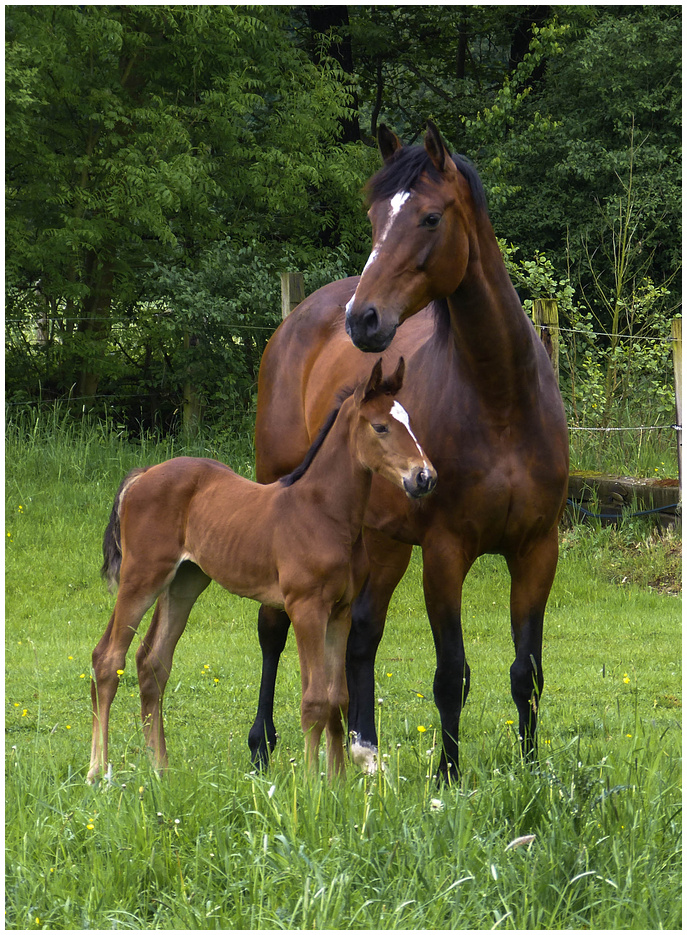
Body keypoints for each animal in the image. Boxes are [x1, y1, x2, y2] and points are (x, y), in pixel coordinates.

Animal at [88, 358, 436, 784]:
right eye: (381, 426)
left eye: (410, 422)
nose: (424, 477)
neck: (324, 513)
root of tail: (143, 474)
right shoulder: (305, 608)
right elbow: (314, 700)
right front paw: (312, 785)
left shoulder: (340, 611)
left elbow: (338, 698)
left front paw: (337, 783)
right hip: (142, 578)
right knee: (108, 659)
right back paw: (97, 773)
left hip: (184, 582)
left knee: (151, 664)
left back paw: (161, 771)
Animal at [250, 124, 568, 784]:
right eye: (374, 218)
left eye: (429, 217)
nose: (363, 320)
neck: (501, 401)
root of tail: (298, 319)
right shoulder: (445, 553)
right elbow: (451, 675)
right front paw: (447, 775)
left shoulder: (537, 549)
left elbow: (526, 672)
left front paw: (530, 773)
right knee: (274, 629)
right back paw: (262, 744)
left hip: (382, 540)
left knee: (361, 634)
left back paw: (364, 748)